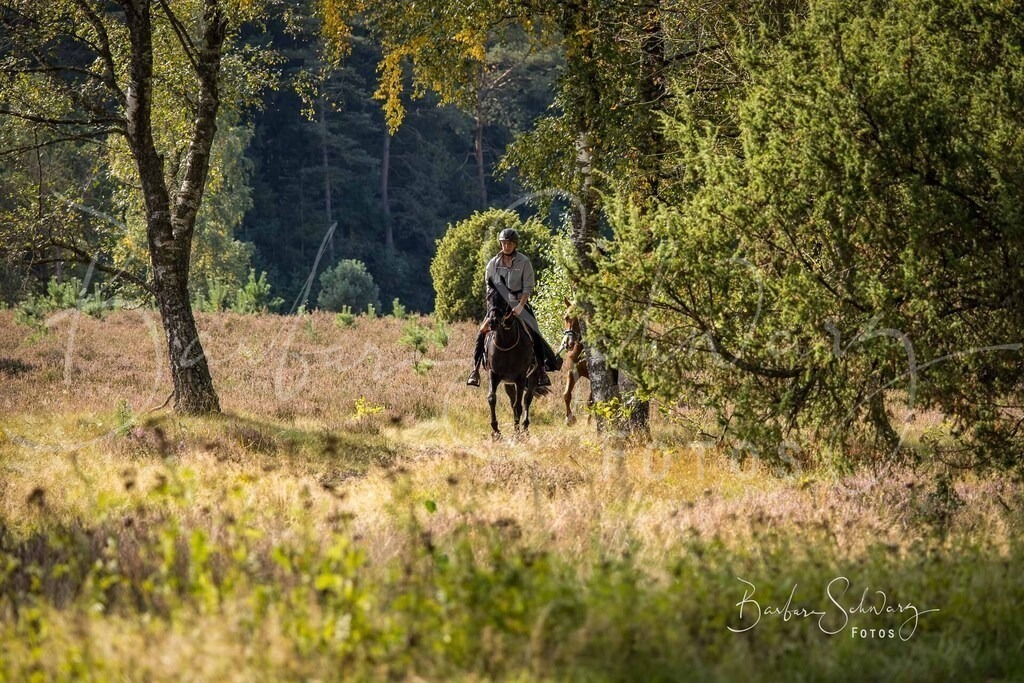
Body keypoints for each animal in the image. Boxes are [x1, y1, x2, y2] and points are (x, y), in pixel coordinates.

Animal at [484, 307, 549, 438]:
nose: (493, 322)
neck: (506, 343)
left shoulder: (520, 378)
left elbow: (518, 405)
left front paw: (517, 434)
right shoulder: (493, 375)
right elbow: (492, 398)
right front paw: (496, 431)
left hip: (533, 378)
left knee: (526, 400)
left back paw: (524, 428)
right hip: (508, 383)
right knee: (513, 401)